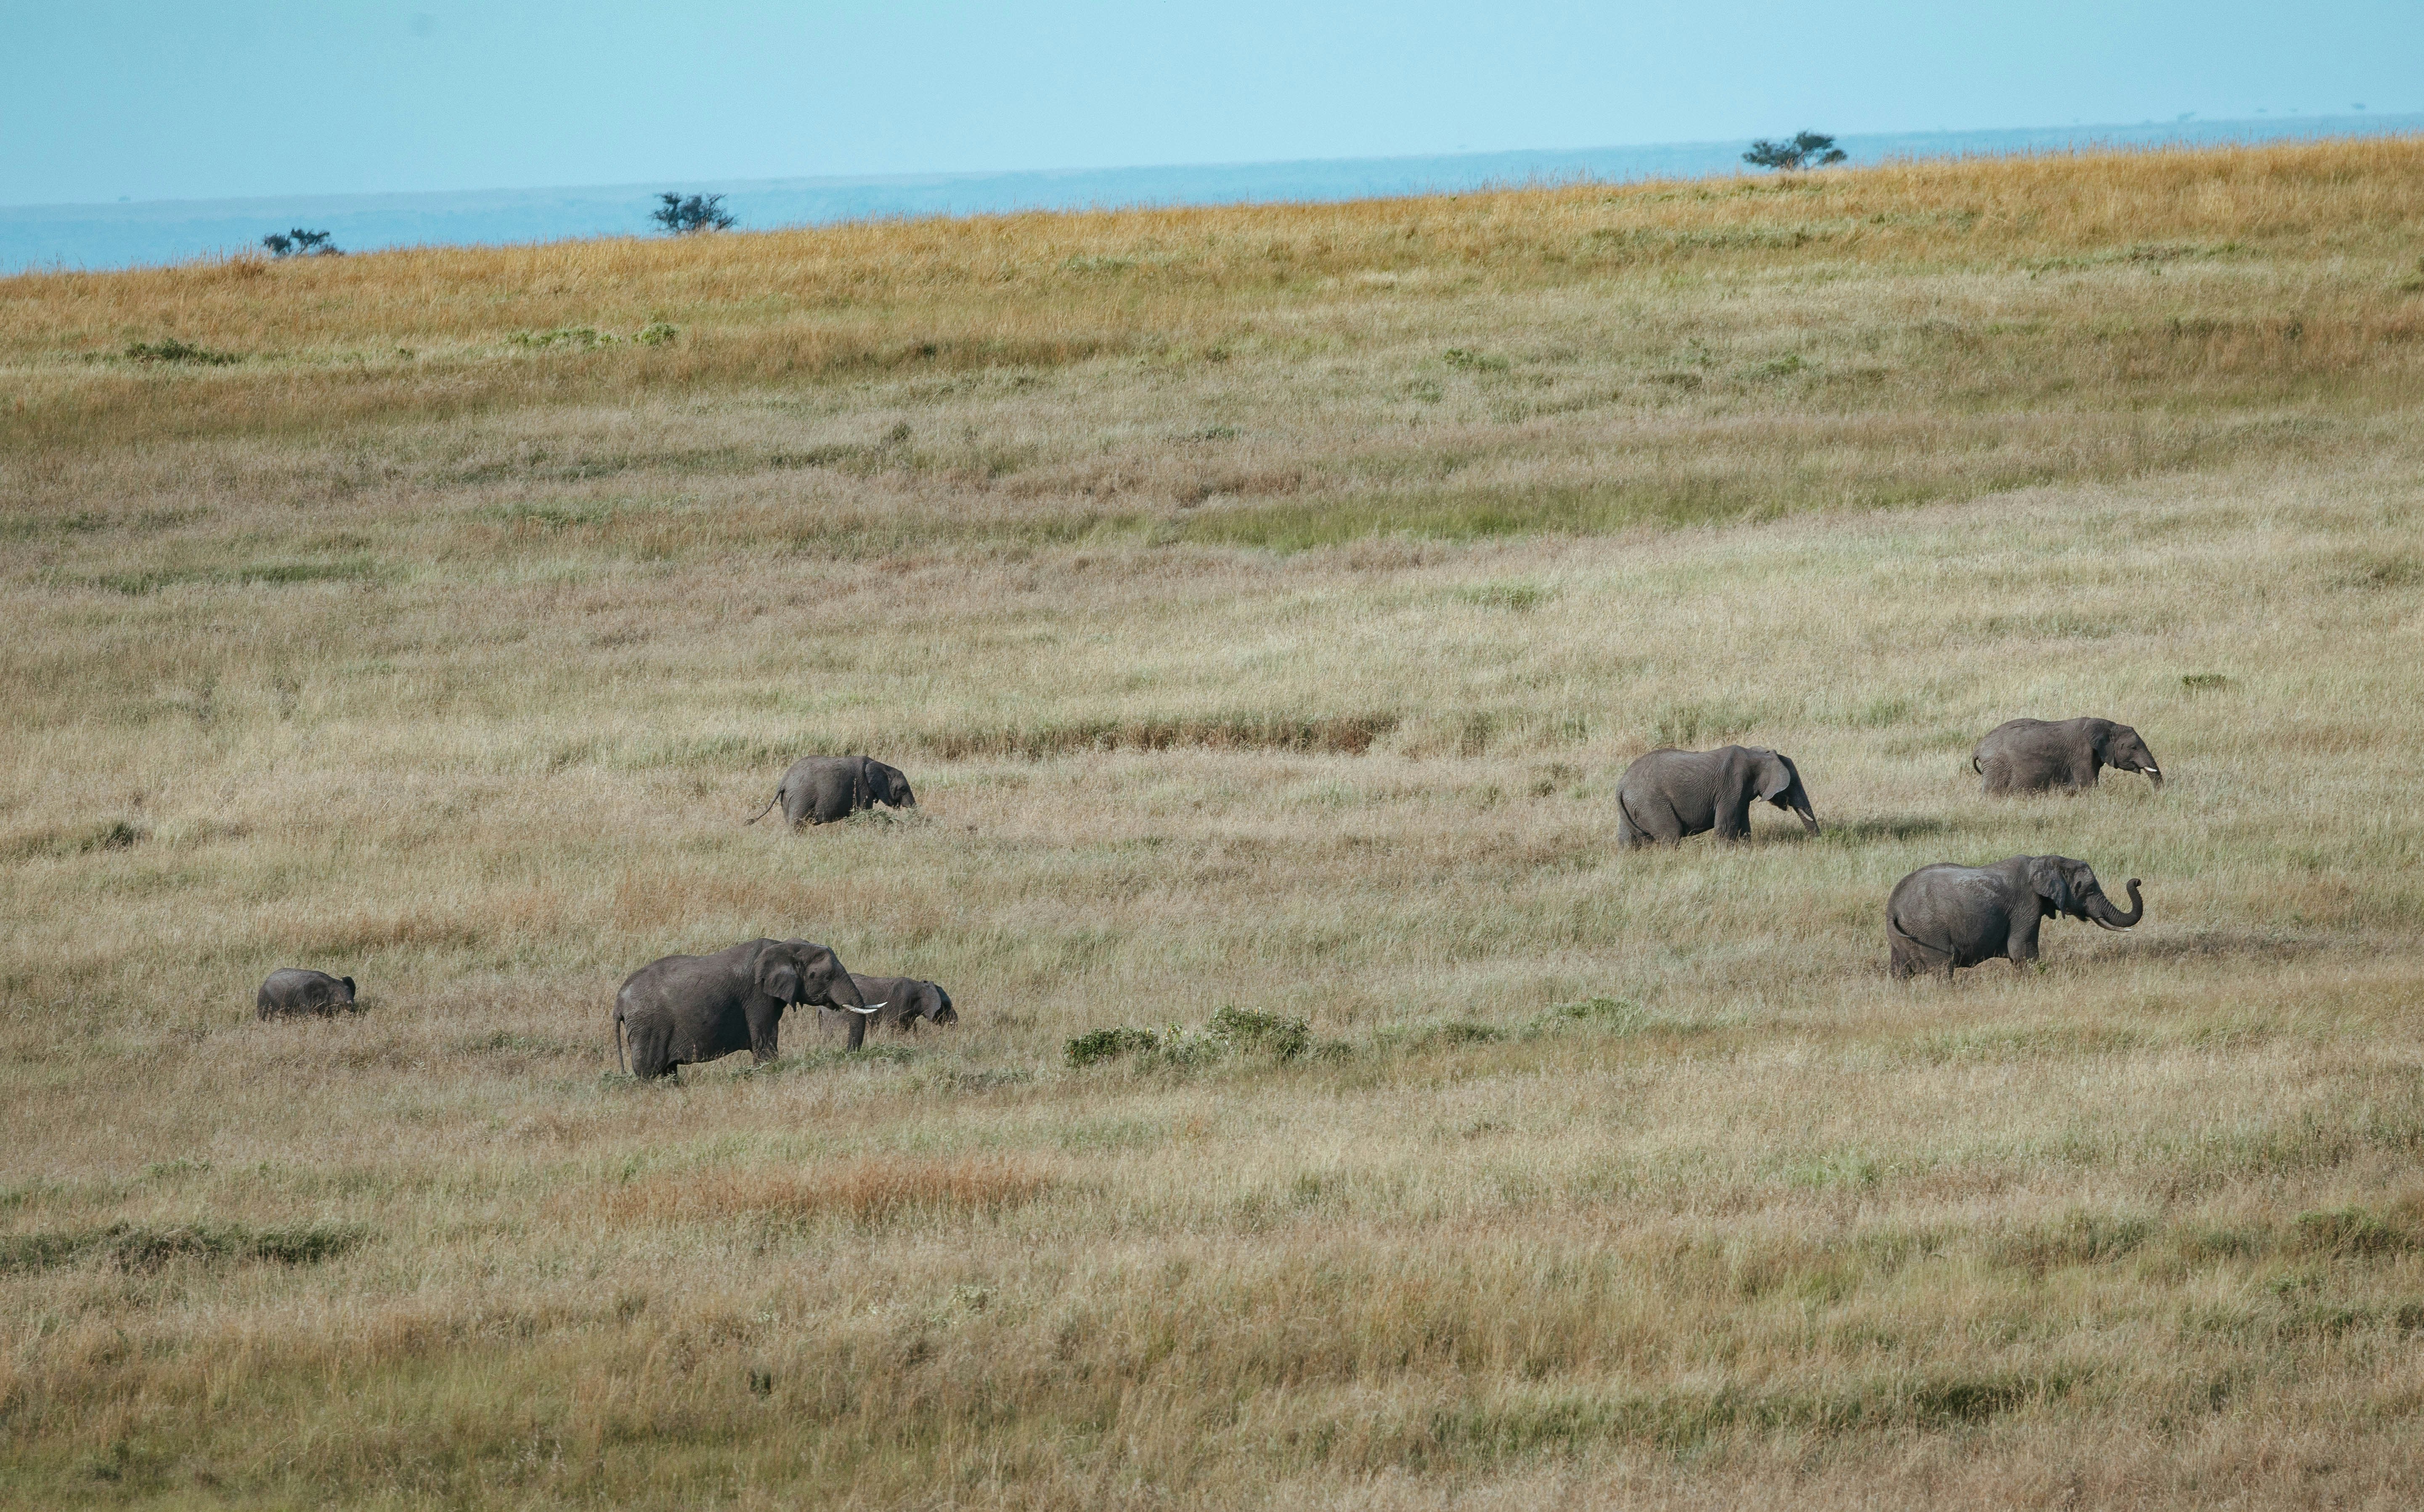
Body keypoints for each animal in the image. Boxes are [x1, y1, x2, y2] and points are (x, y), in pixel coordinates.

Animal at [614, 937, 879, 1078]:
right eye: (825, 977)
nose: (846, 1054)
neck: (785, 947)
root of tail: (618, 1002)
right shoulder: (757, 996)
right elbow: (765, 1041)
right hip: (648, 1026)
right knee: (649, 1071)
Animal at [747, 755, 916, 827]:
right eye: (903, 789)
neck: (881, 765)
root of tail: (783, 782)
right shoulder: (863, 787)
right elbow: (864, 812)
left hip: (788, 800)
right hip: (800, 798)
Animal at [1615, 745, 1819, 848]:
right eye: (1792, 783)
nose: (1818, 842)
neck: (1758, 755)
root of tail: (1621, 786)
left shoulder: (1742, 794)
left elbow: (1744, 827)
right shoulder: (1731, 787)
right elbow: (1726, 827)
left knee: (1627, 841)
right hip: (1651, 804)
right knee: (1671, 835)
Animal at [1887, 855, 2145, 979]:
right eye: (2089, 890)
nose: (2137, 881)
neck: (2045, 861)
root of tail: (1893, 908)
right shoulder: (2026, 906)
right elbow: (2022, 951)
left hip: (1903, 938)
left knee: (1899, 973)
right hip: (1930, 932)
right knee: (1943, 970)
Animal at [1973, 717, 2162, 795]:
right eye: (2134, 747)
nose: (2157, 795)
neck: (2109, 725)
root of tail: (1978, 748)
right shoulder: (2082, 755)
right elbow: (2088, 786)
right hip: (1998, 765)